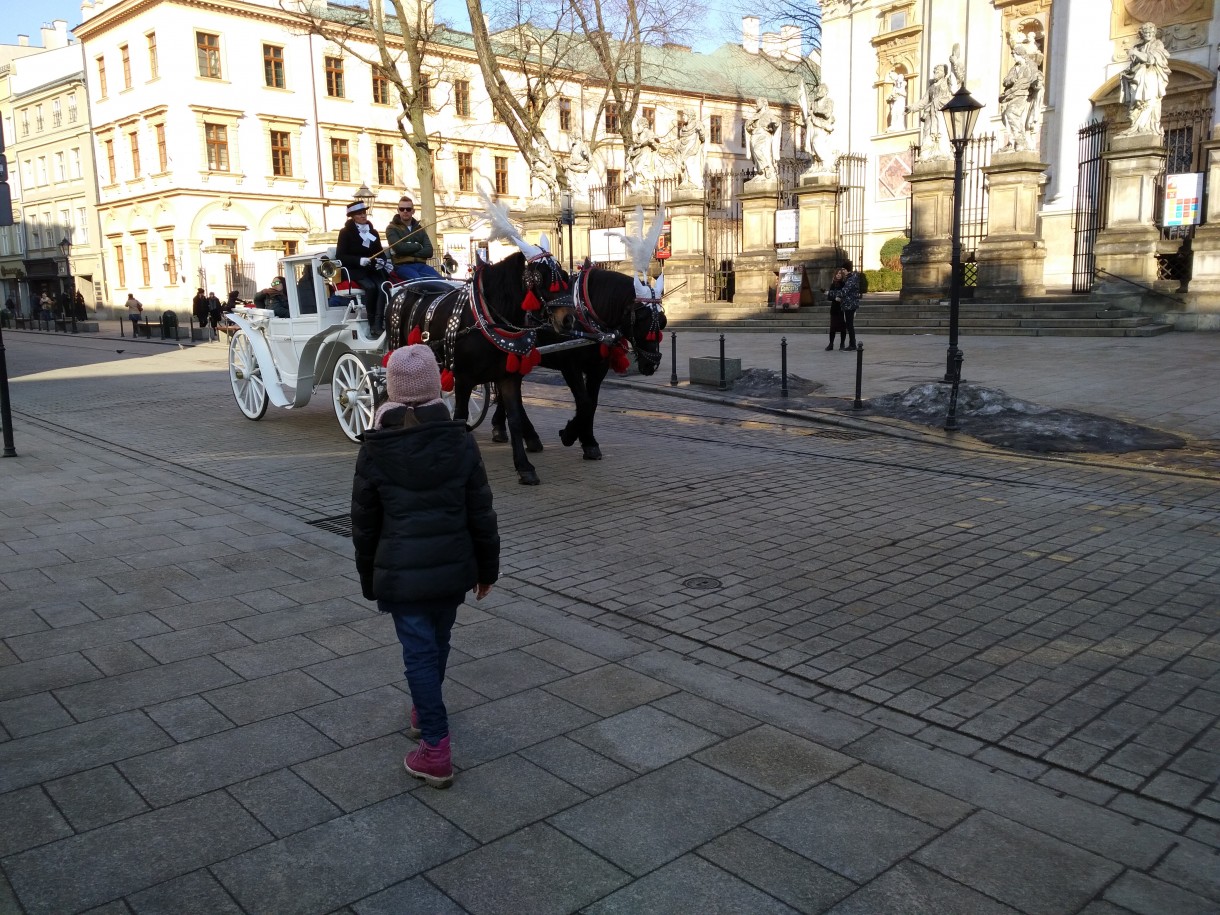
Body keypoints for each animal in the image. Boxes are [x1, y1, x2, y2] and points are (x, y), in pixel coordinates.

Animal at [383, 251, 663, 488]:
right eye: (642, 320)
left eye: (661, 322)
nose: (652, 364)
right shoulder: (567, 367)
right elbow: (582, 403)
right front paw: (570, 435)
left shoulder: (595, 368)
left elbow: (587, 405)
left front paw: (585, 442)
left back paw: (516, 434)